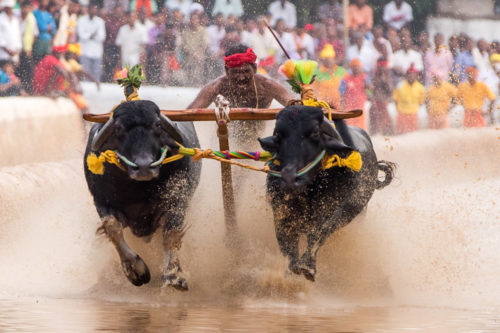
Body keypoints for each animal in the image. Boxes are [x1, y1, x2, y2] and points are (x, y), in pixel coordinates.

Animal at [84, 99, 199, 288]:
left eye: (157, 125)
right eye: (118, 128)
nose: (144, 167)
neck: (138, 190)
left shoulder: (178, 201)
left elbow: (171, 234)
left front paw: (174, 274)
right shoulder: (101, 201)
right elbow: (112, 228)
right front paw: (135, 270)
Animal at [258, 105, 394, 282]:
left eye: (315, 132)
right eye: (278, 133)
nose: (290, 179)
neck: (310, 190)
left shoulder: (336, 211)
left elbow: (317, 234)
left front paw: (307, 266)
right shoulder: (281, 210)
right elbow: (286, 243)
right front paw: (291, 271)